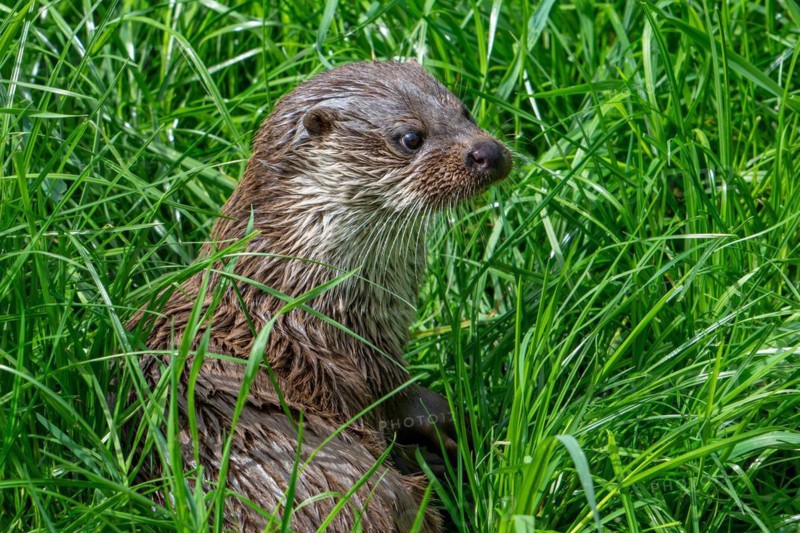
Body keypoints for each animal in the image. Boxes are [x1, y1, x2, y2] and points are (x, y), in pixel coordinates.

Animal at [133, 61, 511, 531]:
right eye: (410, 138)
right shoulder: (369, 360)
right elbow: (400, 401)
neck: (294, 284)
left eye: (464, 110)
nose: (487, 152)